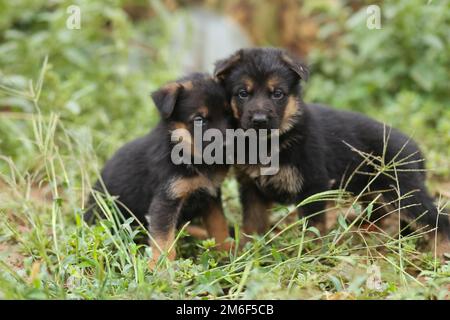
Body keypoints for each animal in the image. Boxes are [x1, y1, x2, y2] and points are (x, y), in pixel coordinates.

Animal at [84, 74, 234, 266]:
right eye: (199, 120)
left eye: (229, 113)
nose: (229, 146)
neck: (186, 153)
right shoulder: (165, 201)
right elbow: (164, 240)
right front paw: (161, 267)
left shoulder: (211, 197)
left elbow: (219, 227)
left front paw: (227, 252)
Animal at [214, 47, 450, 258]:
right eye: (243, 93)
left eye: (278, 94)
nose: (259, 120)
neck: (271, 142)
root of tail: (415, 149)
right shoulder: (251, 188)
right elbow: (252, 225)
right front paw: (246, 253)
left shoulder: (313, 186)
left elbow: (313, 229)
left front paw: (308, 256)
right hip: (374, 192)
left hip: (404, 191)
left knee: (438, 220)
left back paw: (439, 252)